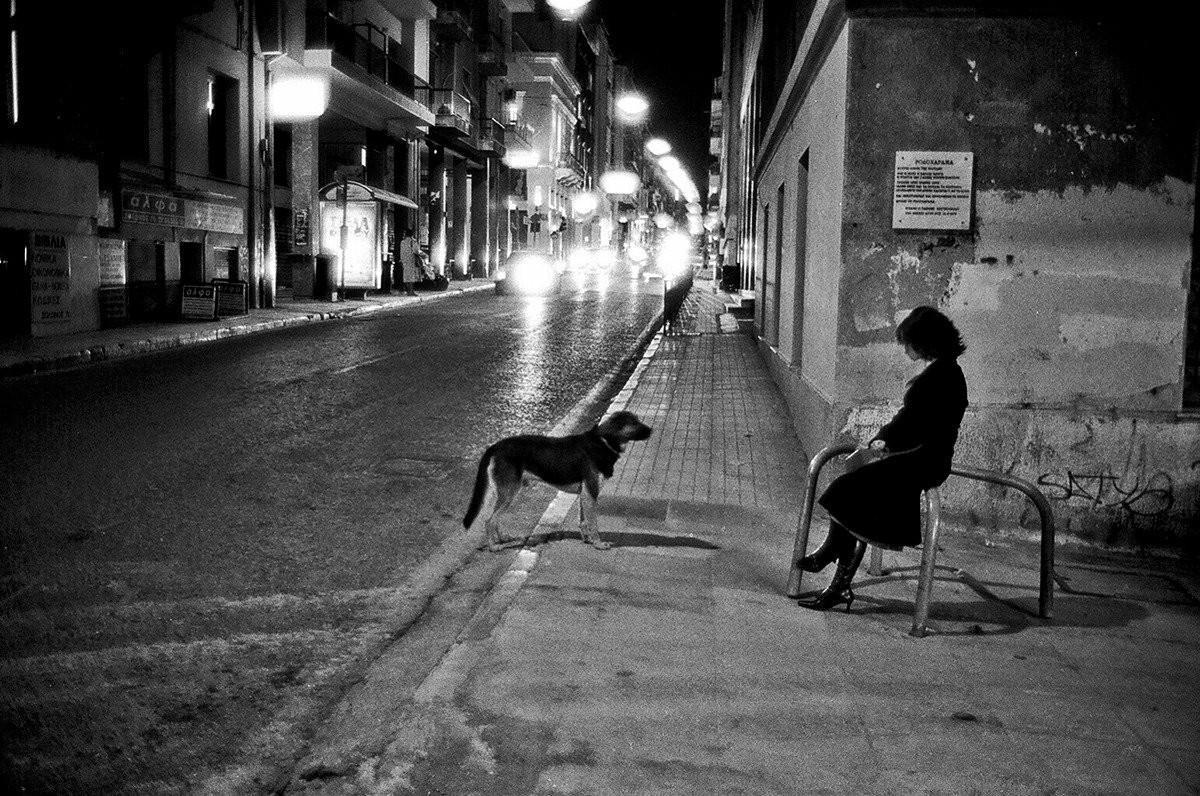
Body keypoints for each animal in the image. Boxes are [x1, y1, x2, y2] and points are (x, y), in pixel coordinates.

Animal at [460, 410, 652, 547]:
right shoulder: (591, 492)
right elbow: (593, 523)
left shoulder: (585, 494)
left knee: (495, 520)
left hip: (508, 493)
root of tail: (495, 446)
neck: (604, 440)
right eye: (633, 423)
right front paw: (598, 543)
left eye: (637, 420)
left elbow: (584, 521)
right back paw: (494, 547)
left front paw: (588, 540)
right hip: (508, 493)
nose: (652, 430)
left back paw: (501, 539)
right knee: (489, 520)